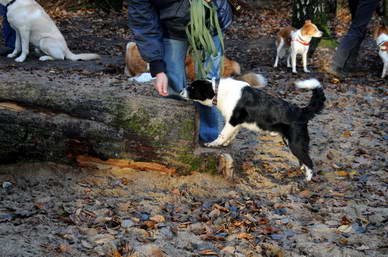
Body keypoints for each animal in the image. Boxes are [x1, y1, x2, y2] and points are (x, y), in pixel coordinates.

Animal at [180, 75, 326, 180]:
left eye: (192, 88)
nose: (180, 91)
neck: (219, 91)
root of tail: (301, 111)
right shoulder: (235, 124)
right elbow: (230, 135)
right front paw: (225, 144)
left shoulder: (232, 121)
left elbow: (222, 135)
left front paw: (213, 144)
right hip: (291, 142)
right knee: (303, 160)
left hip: (295, 144)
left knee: (309, 162)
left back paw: (307, 179)